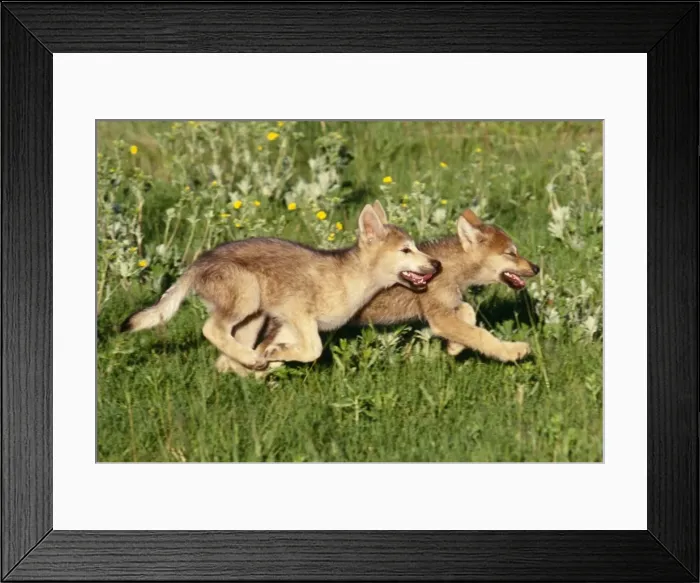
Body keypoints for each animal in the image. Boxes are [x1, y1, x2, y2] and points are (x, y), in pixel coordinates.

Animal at [121, 203, 440, 372]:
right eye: (406, 250)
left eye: (414, 247)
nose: (437, 264)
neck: (352, 278)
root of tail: (196, 264)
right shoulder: (296, 312)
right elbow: (313, 350)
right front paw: (274, 356)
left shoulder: (288, 322)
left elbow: (295, 349)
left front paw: (275, 356)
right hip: (248, 295)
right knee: (211, 330)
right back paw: (251, 361)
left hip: (253, 319)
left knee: (224, 357)